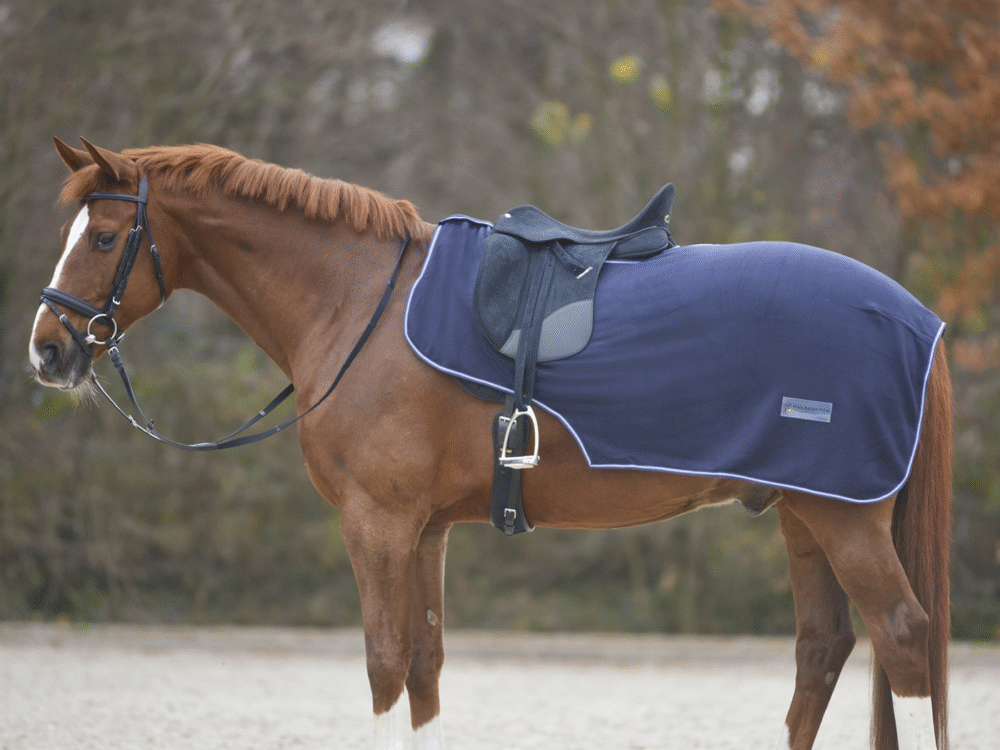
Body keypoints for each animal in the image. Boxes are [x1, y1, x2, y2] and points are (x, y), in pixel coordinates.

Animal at [30, 137, 952, 750]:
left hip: (845, 521)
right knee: (822, 652)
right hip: (804, 519)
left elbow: (383, 666)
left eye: (103, 239)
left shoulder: (377, 524)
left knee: (903, 636)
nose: (47, 350)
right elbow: (424, 672)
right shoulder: (425, 531)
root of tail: (916, 318)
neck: (355, 303)